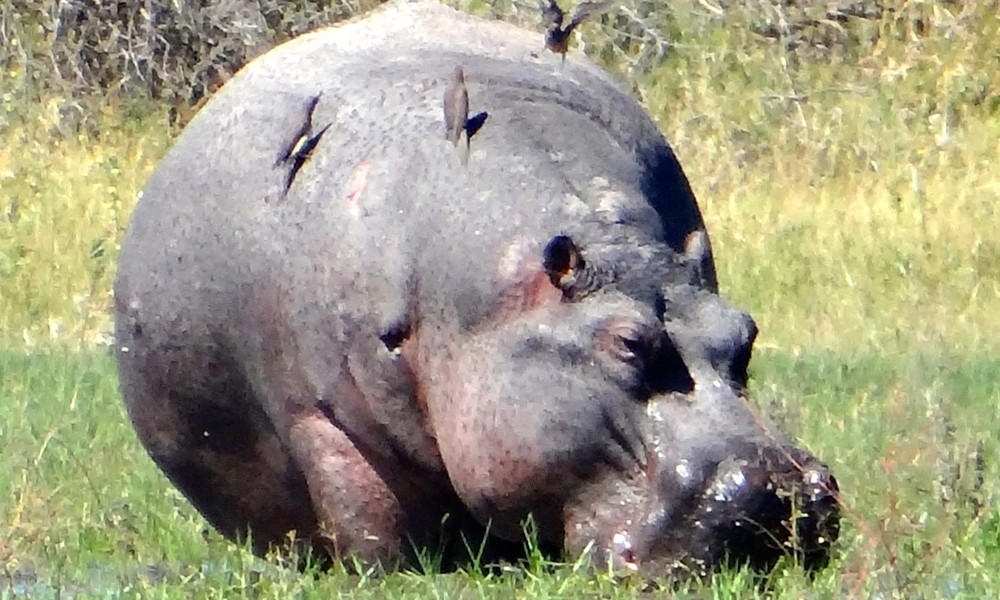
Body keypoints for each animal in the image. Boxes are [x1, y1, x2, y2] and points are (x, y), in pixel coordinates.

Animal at [113, 0, 839, 576]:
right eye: (629, 343)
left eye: (744, 332)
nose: (780, 493)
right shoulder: (318, 413)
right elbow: (368, 513)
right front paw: (393, 572)